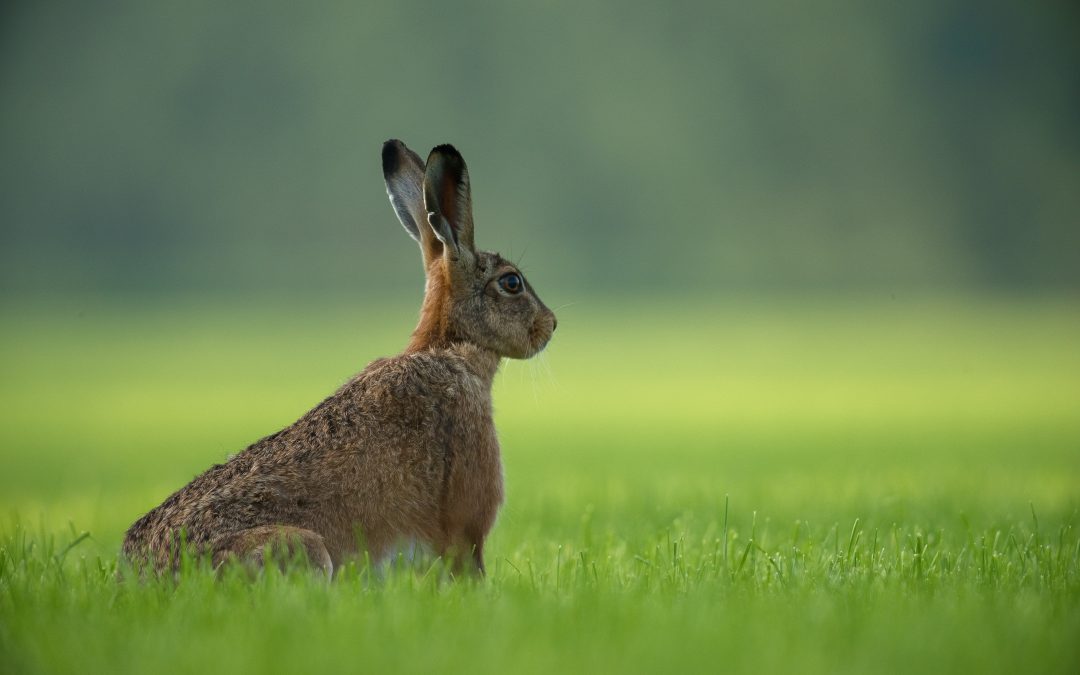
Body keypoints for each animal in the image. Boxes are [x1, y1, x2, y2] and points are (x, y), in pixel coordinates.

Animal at [121, 140, 557, 577]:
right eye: (512, 283)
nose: (551, 324)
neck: (450, 347)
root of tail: (146, 573)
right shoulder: (465, 527)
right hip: (305, 549)